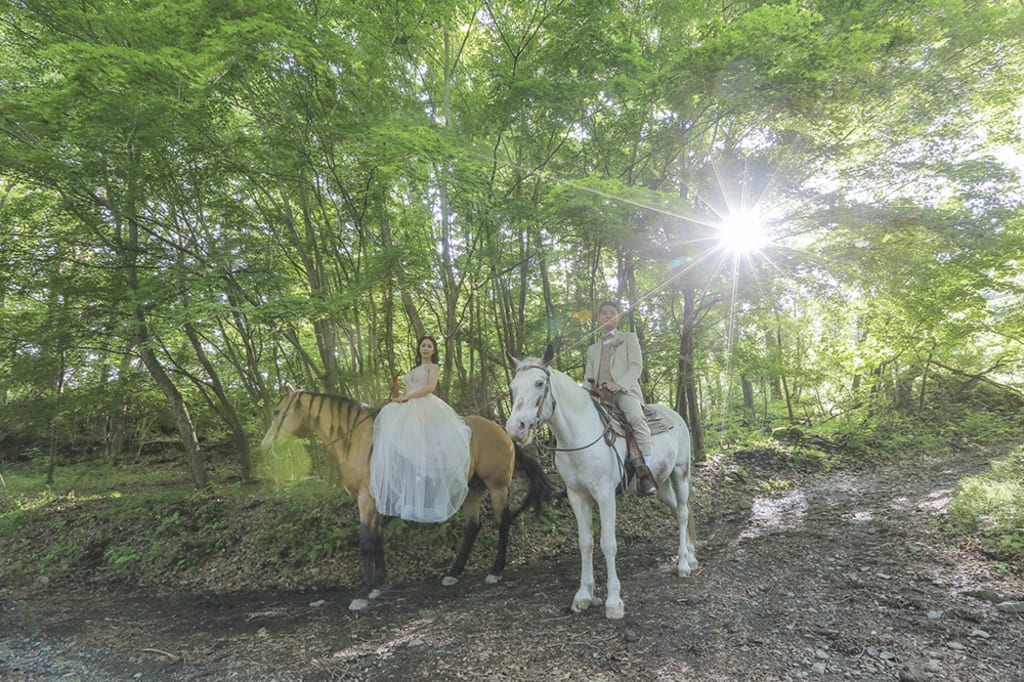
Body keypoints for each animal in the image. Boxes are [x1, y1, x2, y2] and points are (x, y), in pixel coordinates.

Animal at [260, 385, 557, 606]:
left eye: (277, 412)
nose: (265, 446)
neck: (357, 439)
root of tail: (502, 432)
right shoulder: (376, 500)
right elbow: (377, 538)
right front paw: (378, 584)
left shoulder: (366, 499)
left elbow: (366, 541)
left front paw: (364, 592)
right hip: (472, 489)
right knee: (473, 527)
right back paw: (453, 573)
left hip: (497, 487)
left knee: (502, 523)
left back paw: (495, 571)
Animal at [503, 346, 696, 614]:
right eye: (512, 386)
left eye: (539, 383)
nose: (515, 428)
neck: (579, 436)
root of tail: (674, 415)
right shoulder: (577, 496)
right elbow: (586, 542)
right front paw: (584, 594)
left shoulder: (605, 496)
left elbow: (608, 543)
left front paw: (614, 601)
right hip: (662, 483)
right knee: (678, 511)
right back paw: (690, 555)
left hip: (681, 473)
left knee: (684, 512)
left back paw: (684, 565)